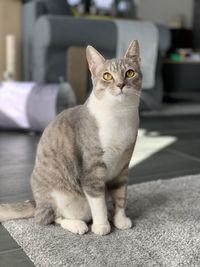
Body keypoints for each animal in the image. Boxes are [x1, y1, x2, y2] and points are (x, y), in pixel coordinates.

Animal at [0, 39, 142, 237]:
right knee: (50, 218)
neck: (119, 116)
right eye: (107, 76)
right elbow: (98, 202)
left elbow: (121, 195)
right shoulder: (91, 170)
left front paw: (120, 219)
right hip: (58, 197)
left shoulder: (122, 167)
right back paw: (77, 225)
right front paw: (102, 225)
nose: (121, 84)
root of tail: (36, 203)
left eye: (129, 73)